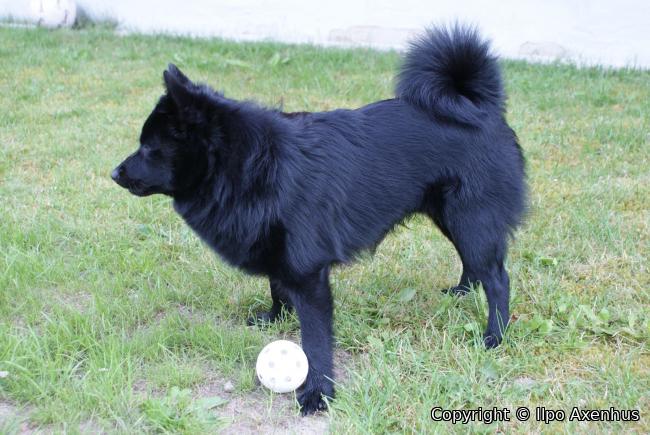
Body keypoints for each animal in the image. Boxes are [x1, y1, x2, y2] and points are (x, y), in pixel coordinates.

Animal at [112, 24, 526, 415]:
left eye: (149, 148)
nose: (114, 173)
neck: (253, 166)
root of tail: (482, 108)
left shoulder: (309, 275)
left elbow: (314, 339)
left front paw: (317, 394)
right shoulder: (280, 253)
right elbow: (276, 287)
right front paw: (275, 318)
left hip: (471, 218)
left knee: (497, 278)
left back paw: (495, 336)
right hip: (455, 218)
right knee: (473, 264)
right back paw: (462, 292)